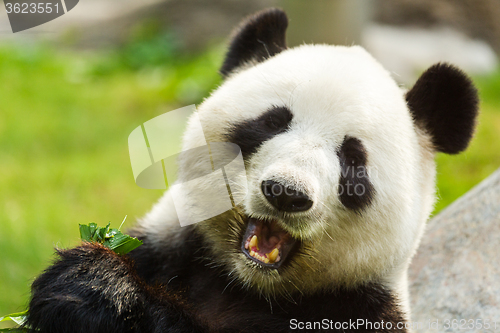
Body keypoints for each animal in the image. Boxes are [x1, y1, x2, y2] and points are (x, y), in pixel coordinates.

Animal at [26, 7, 476, 332]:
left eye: (352, 158)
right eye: (271, 122)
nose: (287, 192)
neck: (245, 284)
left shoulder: (356, 312)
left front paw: (101, 289)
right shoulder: (166, 247)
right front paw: (84, 280)